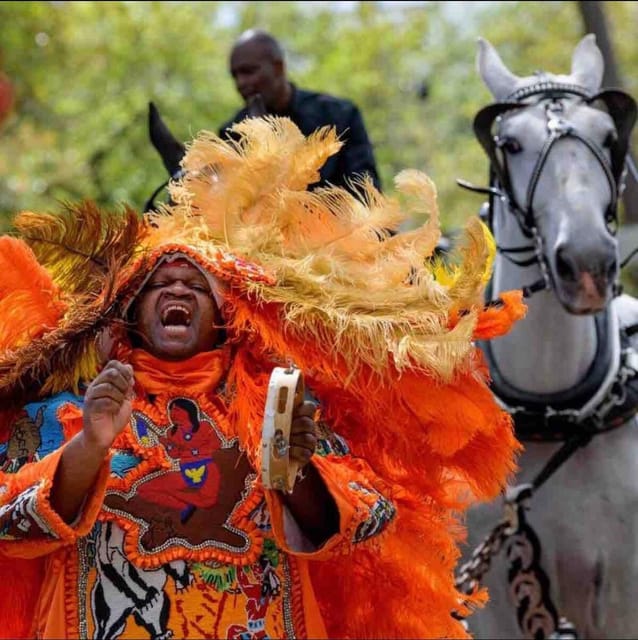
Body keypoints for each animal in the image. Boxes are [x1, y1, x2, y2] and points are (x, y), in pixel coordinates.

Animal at [462, 36, 638, 640]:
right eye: (511, 143)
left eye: (607, 135)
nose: (586, 263)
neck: (553, 410)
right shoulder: (490, 603)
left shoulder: (618, 591)